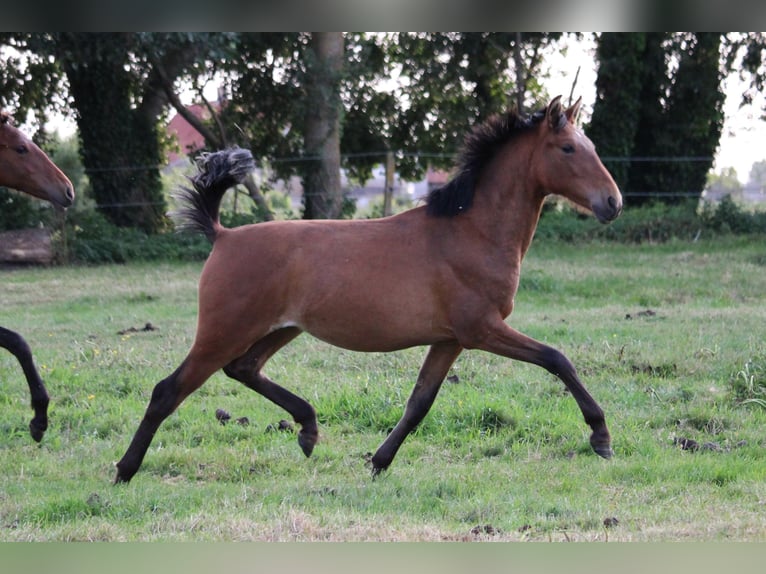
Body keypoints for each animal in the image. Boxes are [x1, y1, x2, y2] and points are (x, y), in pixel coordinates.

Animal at [114, 96, 622, 484]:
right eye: (567, 148)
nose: (613, 203)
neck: (470, 231)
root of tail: (223, 235)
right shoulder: (481, 329)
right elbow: (557, 358)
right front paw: (601, 436)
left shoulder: (449, 339)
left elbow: (419, 403)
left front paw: (378, 462)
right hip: (224, 330)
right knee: (168, 390)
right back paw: (124, 470)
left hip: (281, 329)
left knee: (243, 369)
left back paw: (308, 429)